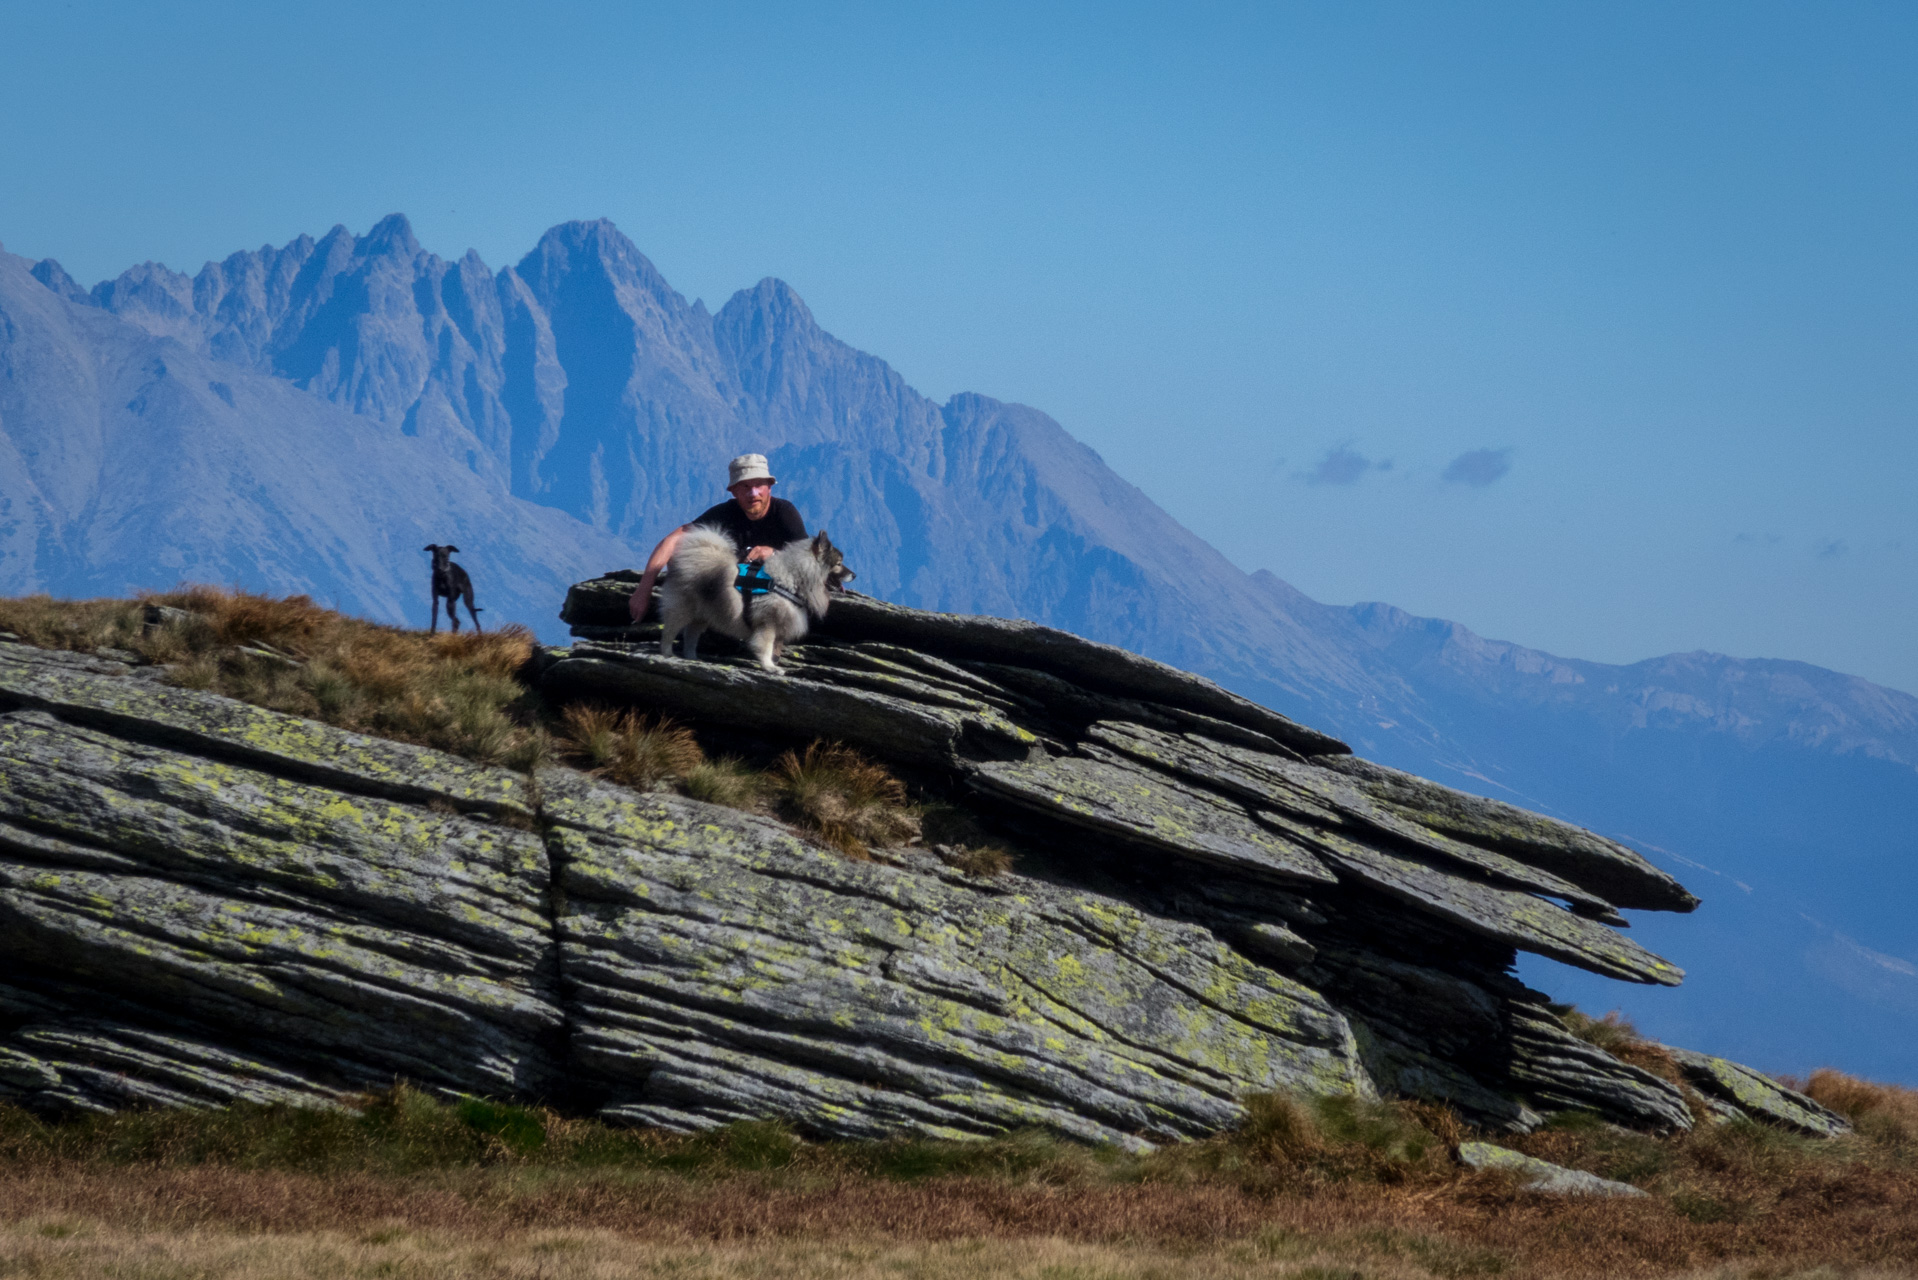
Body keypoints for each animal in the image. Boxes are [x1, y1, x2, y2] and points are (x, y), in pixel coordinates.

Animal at [655, 525, 843, 675]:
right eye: (839, 564)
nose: (851, 574)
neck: (792, 578)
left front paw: (771, 665)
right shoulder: (767, 624)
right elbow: (766, 647)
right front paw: (770, 667)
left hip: (701, 616)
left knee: (690, 636)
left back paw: (692, 657)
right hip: (682, 609)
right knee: (670, 631)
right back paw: (668, 653)